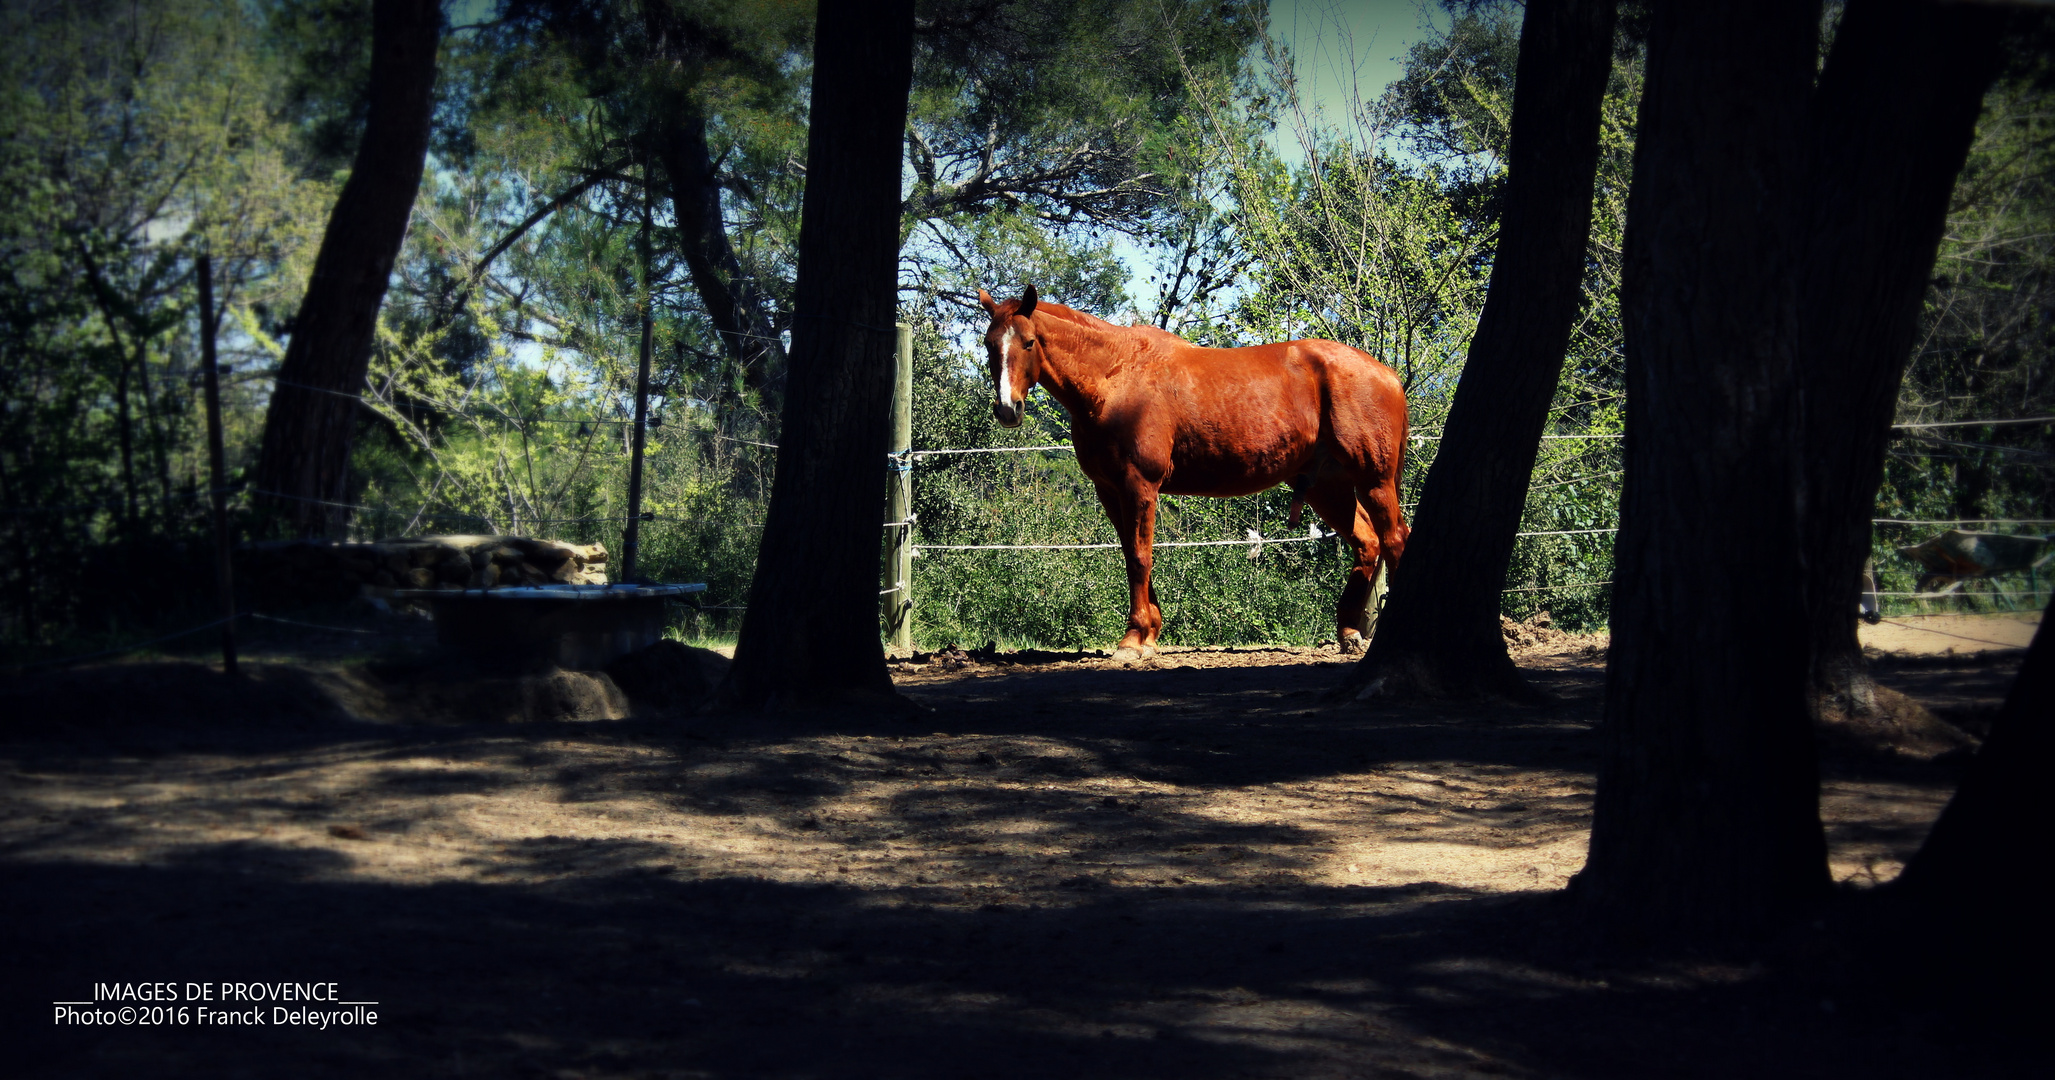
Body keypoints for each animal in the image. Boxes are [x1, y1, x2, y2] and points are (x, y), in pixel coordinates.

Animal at [982, 285, 1413, 661]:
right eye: (989, 344)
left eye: (1028, 342)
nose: (1007, 409)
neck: (1116, 376)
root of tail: (1388, 376)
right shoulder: (1109, 489)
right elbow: (1131, 554)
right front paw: (1149, 635)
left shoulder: (1140, 485)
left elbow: (1139, 557)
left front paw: (1132, 640)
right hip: (1329, 485)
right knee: (1368, 543)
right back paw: (1349, 633)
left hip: (1373, 480)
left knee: (1394, 540)